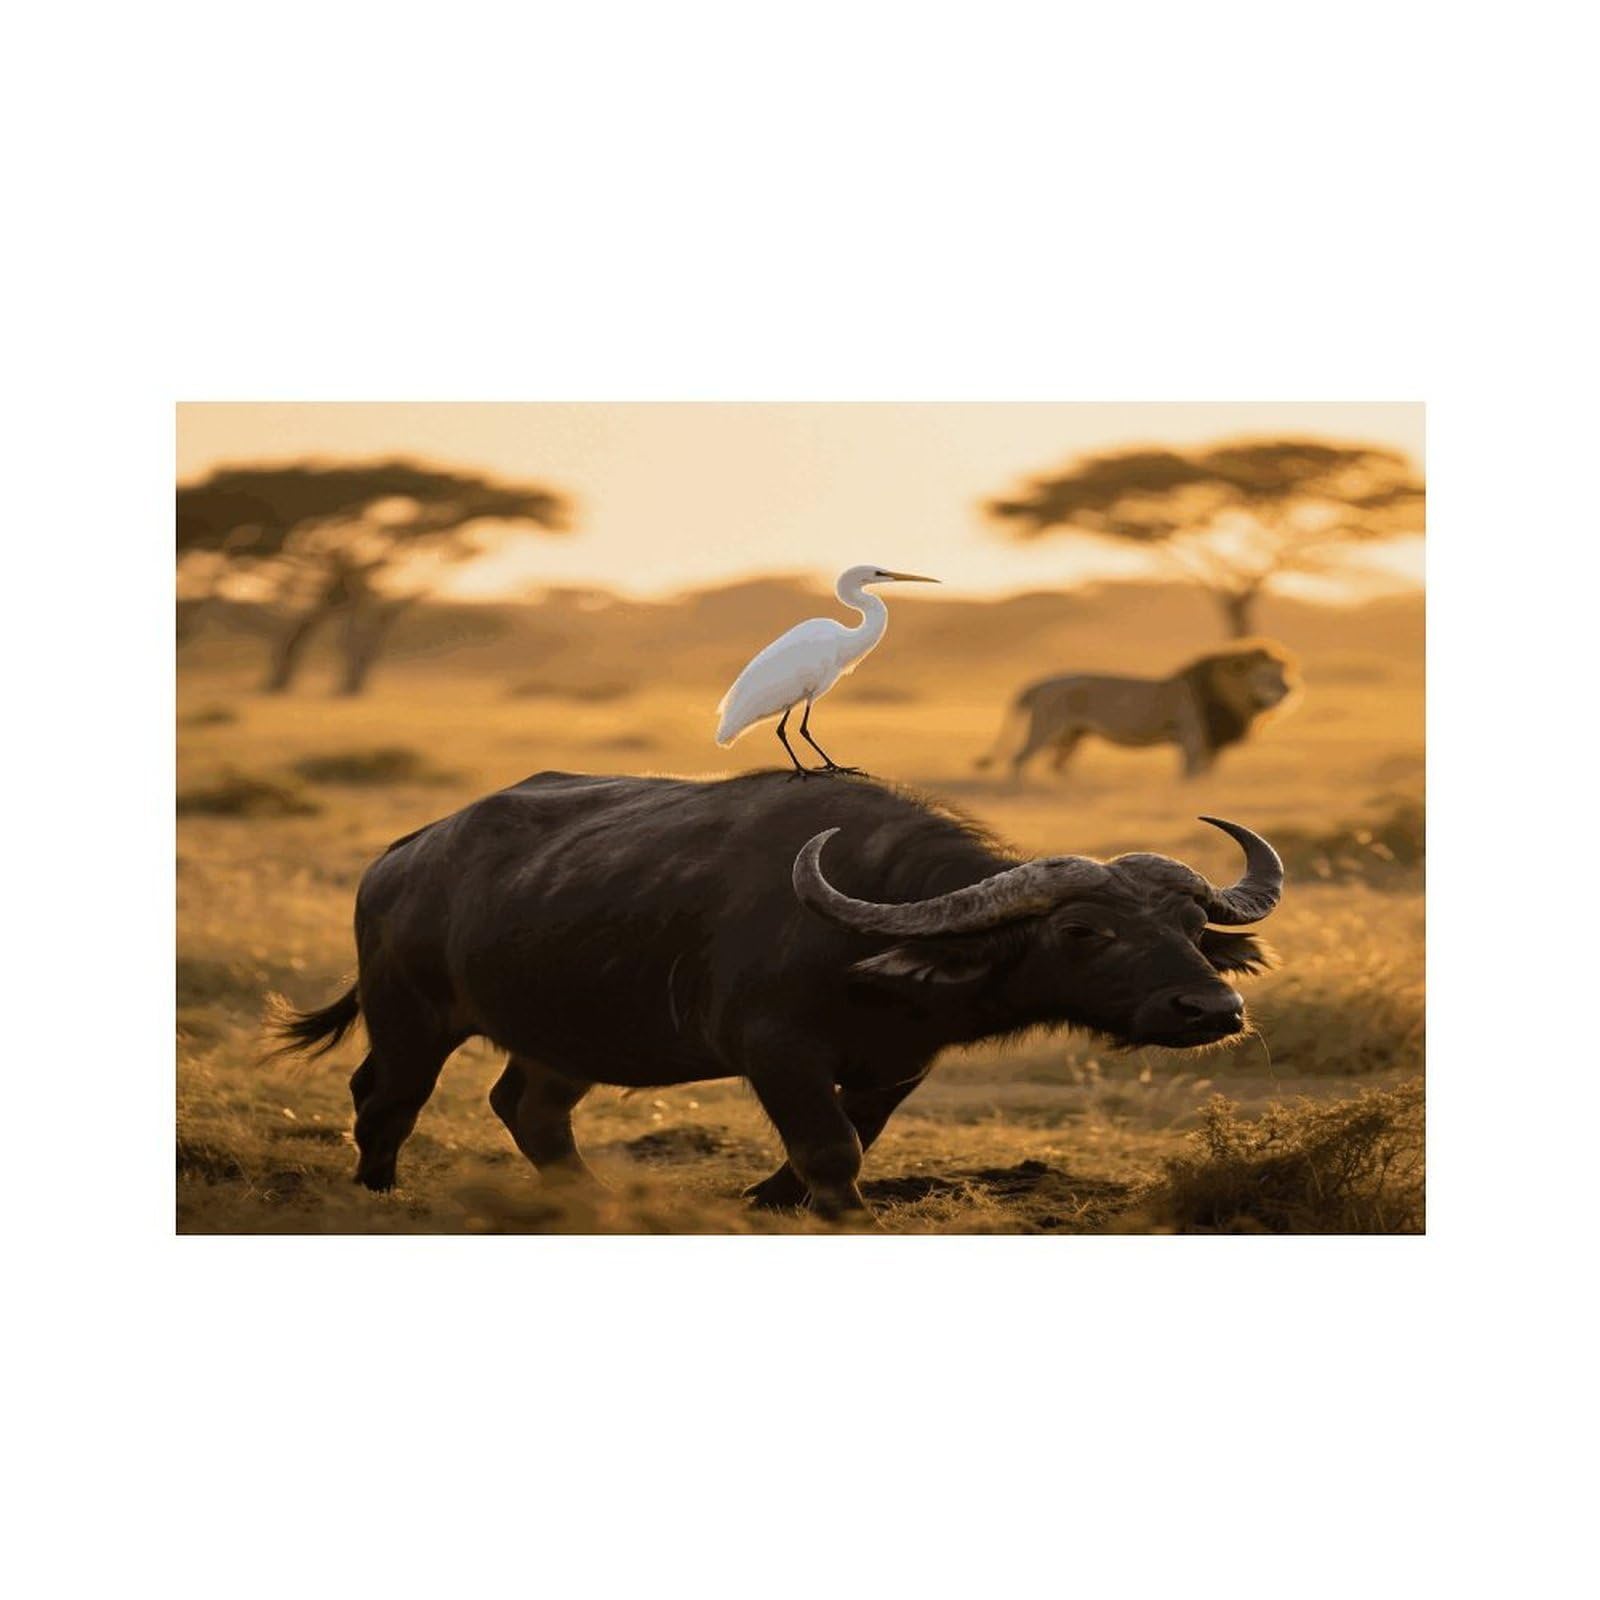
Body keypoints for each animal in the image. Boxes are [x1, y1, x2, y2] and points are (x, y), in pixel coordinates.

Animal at [271, 770, 1284, 1219]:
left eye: (1191, 926)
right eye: (1082, 932)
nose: (1211, 1013)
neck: (868, 935)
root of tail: (401, 858)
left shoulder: (895, 1067)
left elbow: (844, 1140)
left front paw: (770, 1197)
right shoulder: (776, 1051)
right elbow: (831, 1147)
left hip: (563, 1038)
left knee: (526, 1105)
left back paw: (588, 1198)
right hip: (411, 1015)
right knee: (386, 1098)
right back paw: (379, 1192)